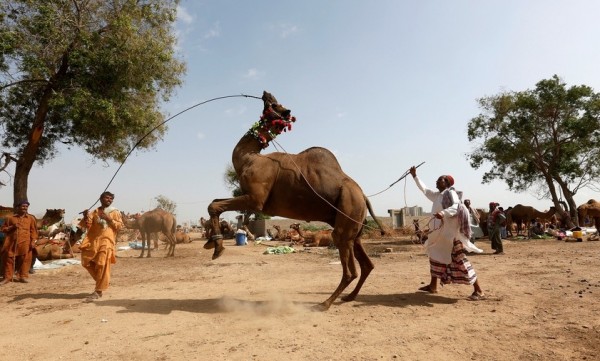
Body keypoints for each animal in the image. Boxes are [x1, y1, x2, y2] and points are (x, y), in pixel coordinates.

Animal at [205, 90, 384, 310]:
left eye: (276, 105)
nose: (266, 93)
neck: (249, 158)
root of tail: (364, 196)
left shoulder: (256, 200)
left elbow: (214, 205)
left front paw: (217, 249)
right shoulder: (250, 198)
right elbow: (215, 201)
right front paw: (211, 244)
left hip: (348, 213)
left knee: (350, 267)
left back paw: (325, 303)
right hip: (355, 226)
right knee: (366, 264)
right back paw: (348, 297)